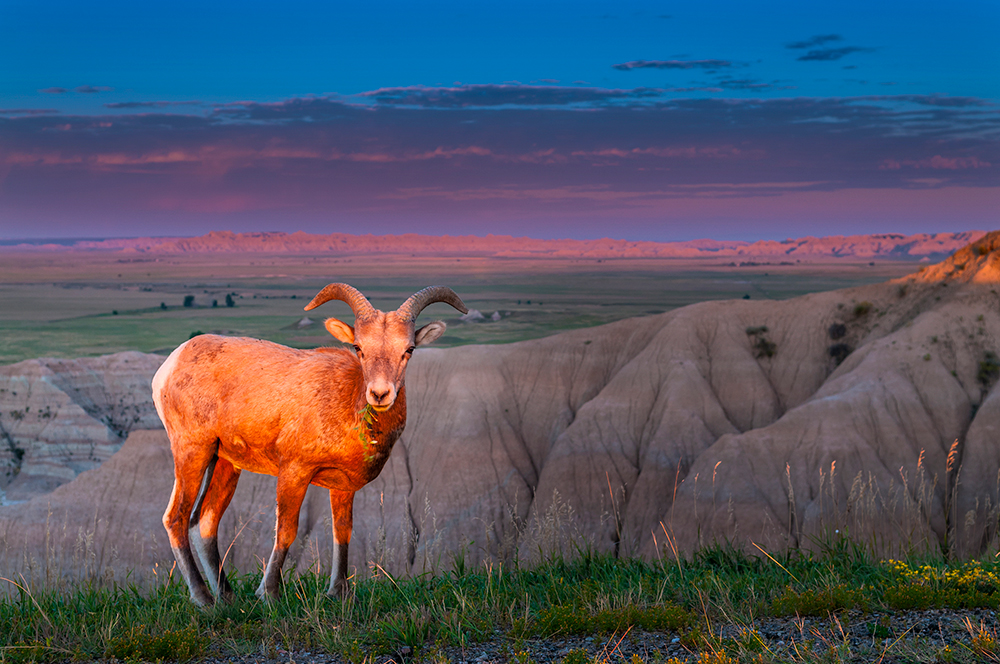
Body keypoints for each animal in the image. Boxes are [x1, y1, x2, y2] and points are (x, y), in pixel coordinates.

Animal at [150, 282, 466, 604]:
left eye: (409, 350)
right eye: (359, 348)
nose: (380, 394)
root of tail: (170, 365)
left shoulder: (343, 487)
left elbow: (342, 532)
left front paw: (338, 593)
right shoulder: (294, 472)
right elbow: (287, 531)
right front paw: (269, 594)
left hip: (225, 463)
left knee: (205, 522)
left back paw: (226, 597)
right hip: (193, 452)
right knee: (176, 518)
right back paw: (203, 599)